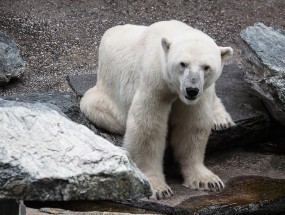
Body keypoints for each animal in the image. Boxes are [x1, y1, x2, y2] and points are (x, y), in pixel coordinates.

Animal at [79, 20, 233, 200]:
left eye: (206, 67)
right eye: (183, 64)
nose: (191, 90)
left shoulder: (198, 96)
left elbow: (191, 126)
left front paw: (207, 180)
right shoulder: (155, 83)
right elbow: (148, 127)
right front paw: (157, 188)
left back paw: (221, 119)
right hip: (104, 95)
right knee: (97, 108)